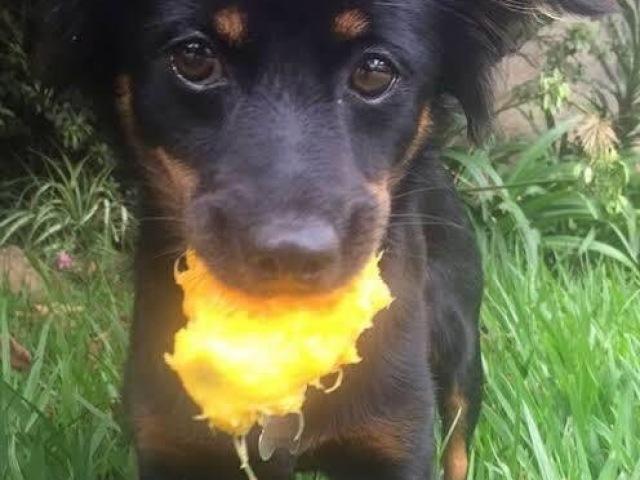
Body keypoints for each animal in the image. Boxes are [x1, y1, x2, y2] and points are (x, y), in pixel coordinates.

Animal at [40, 1, 616, 478]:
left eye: (375, 70)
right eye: (193, 57)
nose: (291, 256)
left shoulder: (396, 441)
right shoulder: (173, 448)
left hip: (459, 344)